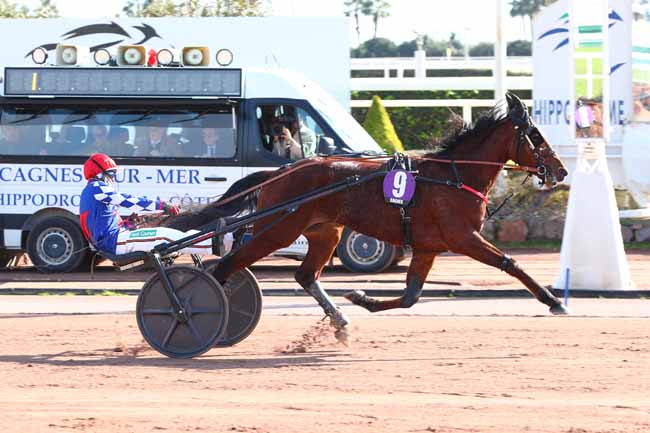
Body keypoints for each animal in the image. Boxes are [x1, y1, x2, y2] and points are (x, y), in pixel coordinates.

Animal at [163, 92, 568, 334]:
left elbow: (411, 295)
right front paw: (552, 301)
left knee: (303, 274)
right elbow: (510, 263)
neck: (452, 176)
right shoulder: (463, 237)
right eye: (535, 134)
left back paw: (339, 321)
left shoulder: (427, 246)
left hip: (325, 231)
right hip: (278, 228)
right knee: (226, 265)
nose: (561, 170)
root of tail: (284, 170)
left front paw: (361, 299)